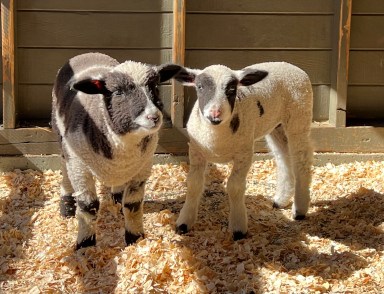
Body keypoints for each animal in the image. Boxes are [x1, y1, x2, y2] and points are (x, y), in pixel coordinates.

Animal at [51, 51, 182, 249]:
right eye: (118, 92)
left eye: (155, 87)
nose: (153, 117)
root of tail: (88, 53)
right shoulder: (79, 164)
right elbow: (88, 206)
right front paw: (85, 244)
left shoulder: (143, 167)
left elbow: (133, 205)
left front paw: (135, 238)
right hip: (61, 137)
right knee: (64, 169)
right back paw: (66, 205)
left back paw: (117, 198)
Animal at [172, 60, 314, 240]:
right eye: (200, 87)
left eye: (232, 89)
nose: (215, 114)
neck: (217, 139)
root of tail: (291, 65)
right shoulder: (197, 152)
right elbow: (193, 184)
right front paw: (184, 223)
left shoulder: (244, 154)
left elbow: (235, 187)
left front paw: (238, 228)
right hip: (276, 126)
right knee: (284, 158)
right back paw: (281, 200)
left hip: (299, 117)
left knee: (301, 161)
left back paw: (300, 209)